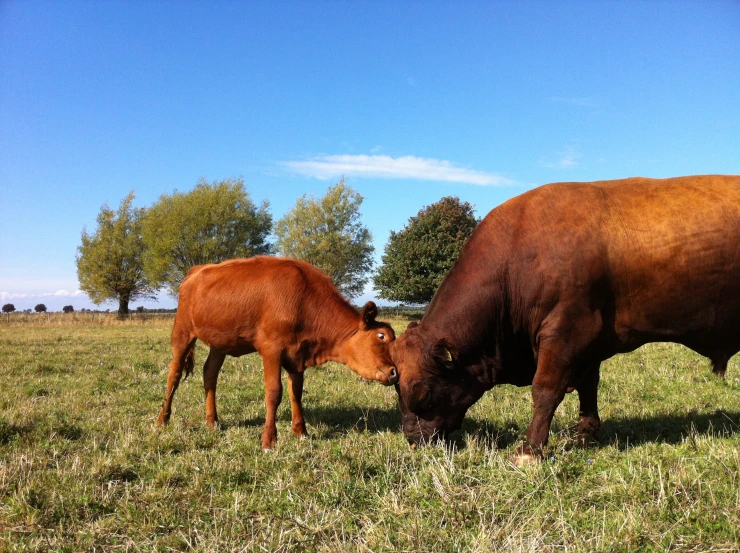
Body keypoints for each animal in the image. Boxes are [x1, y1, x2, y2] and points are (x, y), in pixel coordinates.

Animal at [157, 256, 398, 450]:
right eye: (381, 336)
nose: (394, 372)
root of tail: (197, 270)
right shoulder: (271, 349)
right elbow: (274, 392)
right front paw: (269, 440)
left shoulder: (297, 354)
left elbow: (296, 392)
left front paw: (301, 432)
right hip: (182, 331)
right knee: (174, 374)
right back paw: (163, 420)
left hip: (220, 341)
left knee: (210, 374)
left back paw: (212, 422)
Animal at [388, 175, 740, 464]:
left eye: (424, 394)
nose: (413, 441)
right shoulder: (589, 342)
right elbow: (588, 386)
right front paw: (586, 434)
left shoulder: (566, 331)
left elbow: (545, 389)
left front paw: (530, 449)